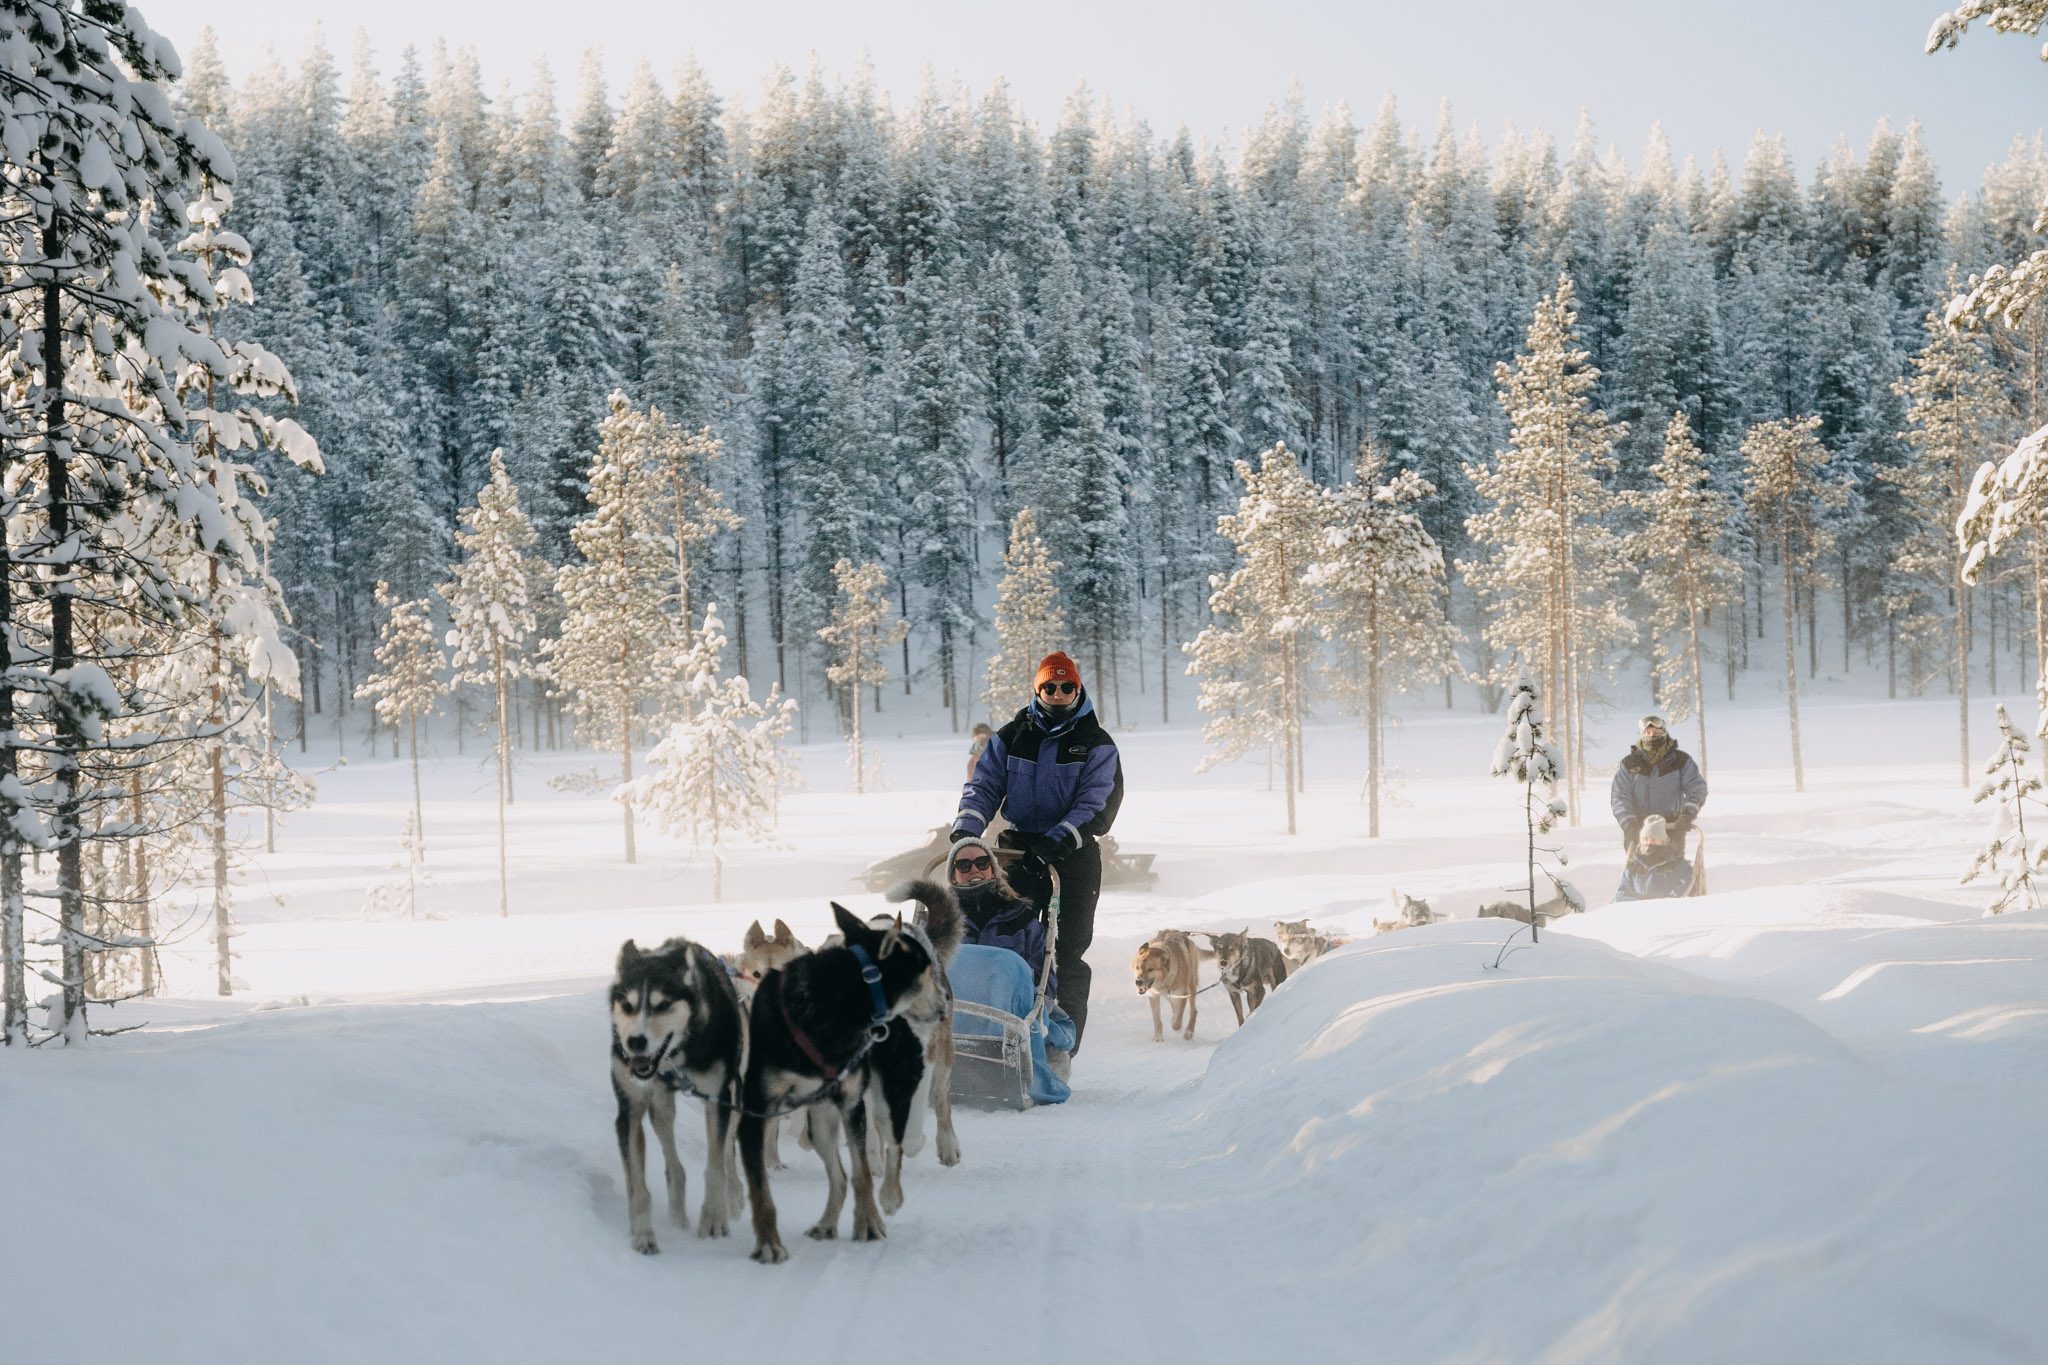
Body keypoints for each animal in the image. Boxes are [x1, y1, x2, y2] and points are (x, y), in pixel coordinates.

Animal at [606, 941, 745, 1260]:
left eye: (662, 1005)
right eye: (628, 1006)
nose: (635, 1042)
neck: (675, 1057)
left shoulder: (718, 1099)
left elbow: (715, 1166)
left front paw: (713, 1219)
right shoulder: (630, 1110)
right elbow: (637, 1185)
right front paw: (642, 1234)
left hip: (735, 1100)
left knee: (728, 1155)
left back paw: (733, 1198)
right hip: (660, 1107)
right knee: (675, 1166)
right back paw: (678, 1216)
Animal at [741, 879, 962, 1268]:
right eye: (755, 975)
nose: (940, 1002)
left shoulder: (913, 1066)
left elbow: (901, 1131)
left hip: (936, 1057)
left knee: (936, 1103)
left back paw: (938, 1149)